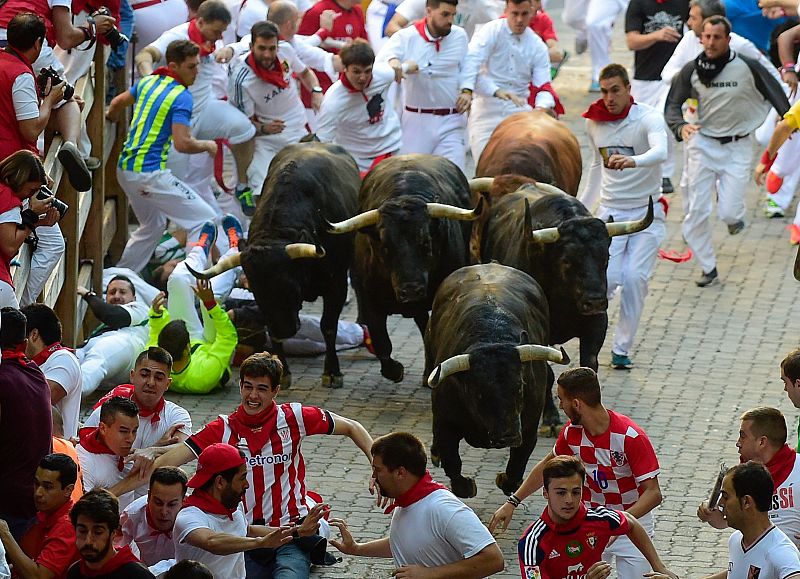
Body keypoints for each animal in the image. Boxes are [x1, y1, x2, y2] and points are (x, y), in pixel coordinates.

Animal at [186, 142, 358, 390]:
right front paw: (282, 371)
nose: (284, 329)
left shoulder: (336, 282)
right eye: (256, 291)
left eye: (291, 288)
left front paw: (333, 373)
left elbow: (328, 326)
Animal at [424, 266, 568, 500]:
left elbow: (518, 463)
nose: (508, 436)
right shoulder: (444, 422)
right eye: (479, 393)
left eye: (520, 387)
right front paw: (466, 485)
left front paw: (506, 479)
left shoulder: (528, 427)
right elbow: (452, 462)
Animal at [478, 184, 652, 428]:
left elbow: (589, 363)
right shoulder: (539, 334)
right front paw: (550, 416)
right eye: (567, 260)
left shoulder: (597, 322)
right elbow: (548, 372)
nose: (595, 300)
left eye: (606, 257)